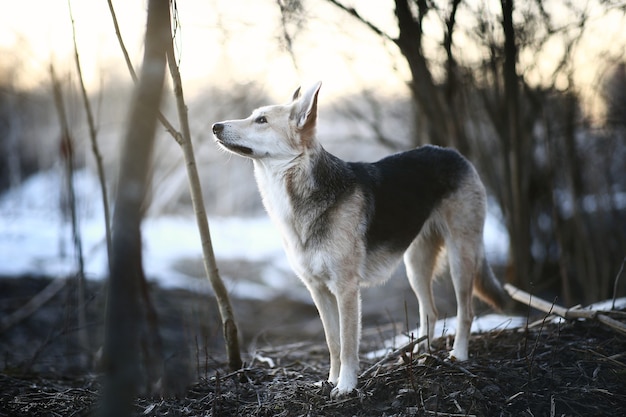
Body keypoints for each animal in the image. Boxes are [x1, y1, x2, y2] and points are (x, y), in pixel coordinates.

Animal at [210, 81, 508, 396]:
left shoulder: (346, 289)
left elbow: (349, 344)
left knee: (466, 311)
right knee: (431, 311)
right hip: (416, 265)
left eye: (262, 120)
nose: (215, 127)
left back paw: (458, 355)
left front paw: (346, 386)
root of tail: (455, 154)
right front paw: (330, 380)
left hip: (460, 258)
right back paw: (422, 357)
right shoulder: (319, 290)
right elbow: (333, 342)